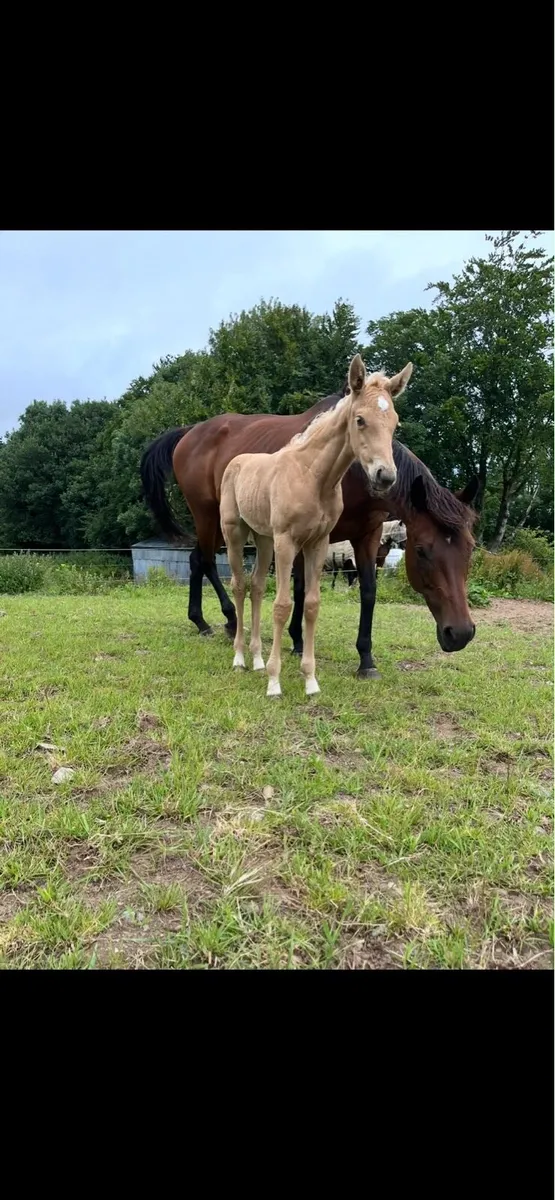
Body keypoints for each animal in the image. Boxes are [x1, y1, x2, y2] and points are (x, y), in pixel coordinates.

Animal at [140, 374, 478, 679]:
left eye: (470, 551)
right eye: (421, 551)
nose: (460, 633)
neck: (350, 473)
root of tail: (189, 431)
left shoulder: (366, 537)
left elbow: (368, 592)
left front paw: (366, 659)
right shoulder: (303, 537)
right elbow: (301, 588)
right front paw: (297, 640)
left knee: (197, 559)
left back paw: (201, 621)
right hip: (209, 515)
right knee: (208, 561)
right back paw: (229, 620)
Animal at [219, 354, 401, 697]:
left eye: (395, 422)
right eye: (360, 420)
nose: (385, 476)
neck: (313, 476)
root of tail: (235, 462)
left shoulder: (318, 542)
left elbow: (312, 605)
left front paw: (310, 681)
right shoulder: (287, 542)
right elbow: (283, 605)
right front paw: (274, 683)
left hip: (263, 539)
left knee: (256, 586)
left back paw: (257, 659)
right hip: (235, 533)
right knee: (238, 584)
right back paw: (238, 659)